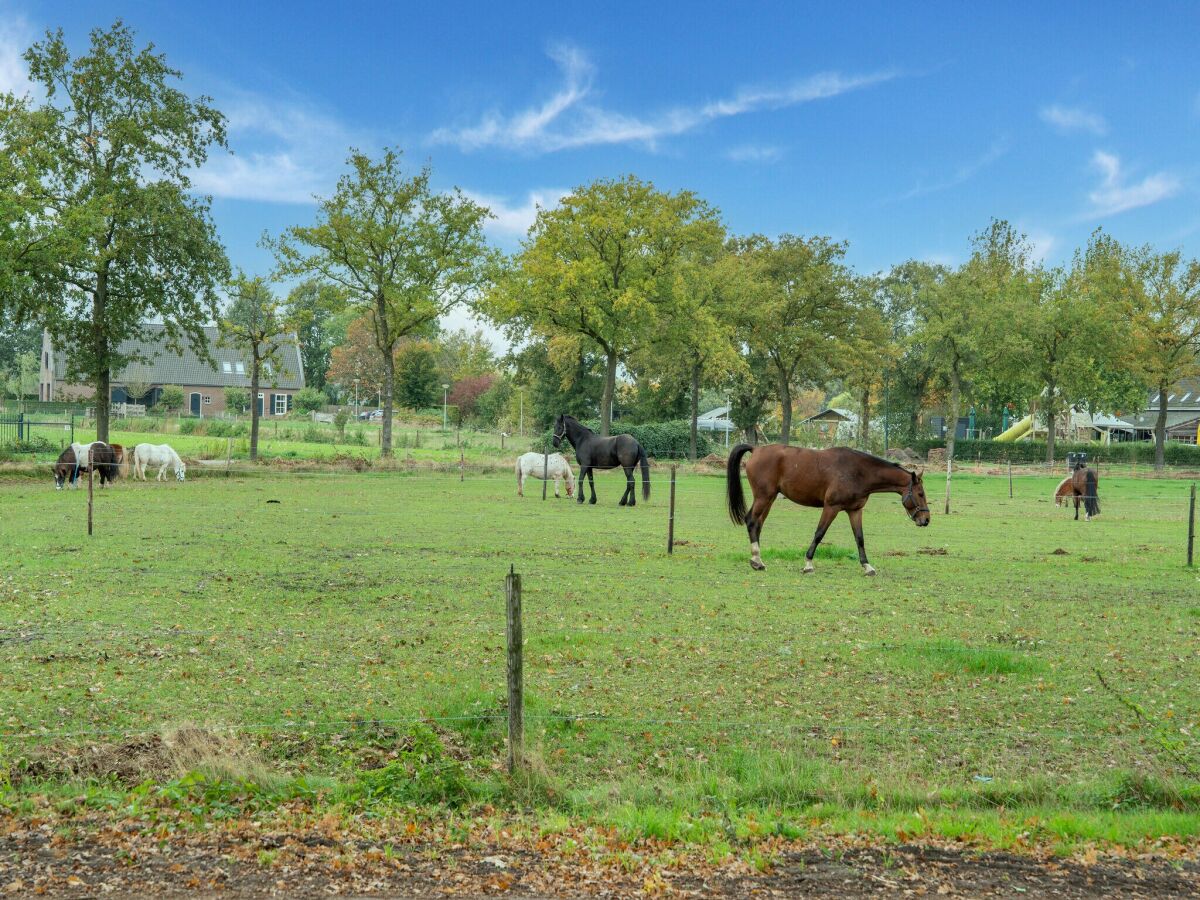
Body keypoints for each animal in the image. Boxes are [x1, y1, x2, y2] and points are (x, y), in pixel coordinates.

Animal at [724, 446, 931, 578]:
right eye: (920, 494)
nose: (926, 519)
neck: (858, 471)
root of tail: (756, 449)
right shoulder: (831, 507)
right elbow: (819, 534)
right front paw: (808, 564)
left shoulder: (854, 510)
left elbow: (859, 538)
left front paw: (867, 566)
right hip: (764, 497)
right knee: (751, 521)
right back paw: (756, 559)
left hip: (770, 498)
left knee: (758, 524)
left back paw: (758, 561)